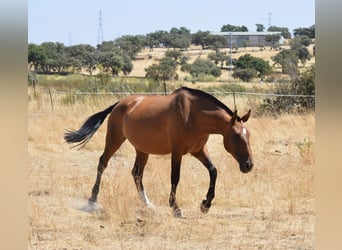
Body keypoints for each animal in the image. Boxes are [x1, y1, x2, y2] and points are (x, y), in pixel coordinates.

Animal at [64, 86, 252, 217]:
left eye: (248, 134)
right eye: (236, 136)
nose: (248, 165)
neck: (193, 114)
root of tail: (120, 104)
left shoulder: (198, 150)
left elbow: (213, 171)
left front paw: (205, 204)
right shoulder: (177, 151)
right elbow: (175, 178)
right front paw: (176, 209)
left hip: (142, 150)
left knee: (136, 173)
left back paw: (147, 204)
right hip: (114, 139)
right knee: (103, 163)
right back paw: (92, 199)